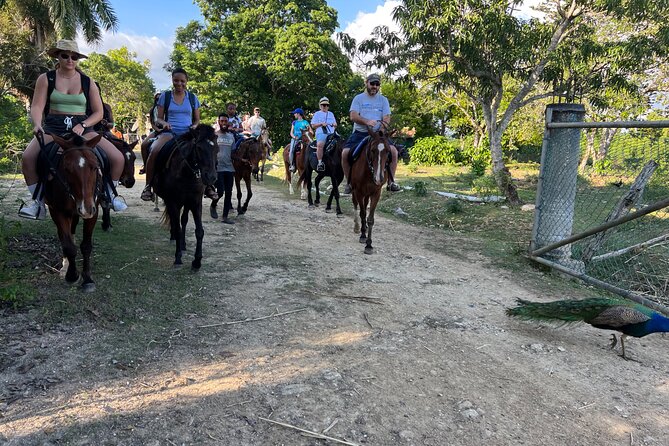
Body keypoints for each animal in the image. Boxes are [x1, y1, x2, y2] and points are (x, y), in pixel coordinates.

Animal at [40, 132, 103, 292]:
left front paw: (87, 279)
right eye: (67, 169)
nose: (86, 208)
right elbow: (69, 246)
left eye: (95, 167)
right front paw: (72, 275)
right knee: (64, 236)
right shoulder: (58, 211)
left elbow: (86, 246)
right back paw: (65, 266)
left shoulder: (94, 210)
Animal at [151, 124, 217, 268]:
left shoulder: (195, 202)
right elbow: (177, 228)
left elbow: (199, 231)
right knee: (175, 222)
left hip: (186, 202)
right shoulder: (172, 201)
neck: (185, 172)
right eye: (199, 148)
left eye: (216, 148)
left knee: (183, 220)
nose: (211, 177)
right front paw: (178, 257)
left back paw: (182, 244)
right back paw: (174, 239)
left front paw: (197, 261)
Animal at [350, 125, 392, 254]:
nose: (379, 178)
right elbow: (363, 214)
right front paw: (363, 236)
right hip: (355, 190)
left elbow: (370, 219)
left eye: (388, 151)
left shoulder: (376, 193)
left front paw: (369, 244)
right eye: (373, 150)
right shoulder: (358, 191)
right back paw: (357, 227)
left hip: (367, 194)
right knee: (356, 205)